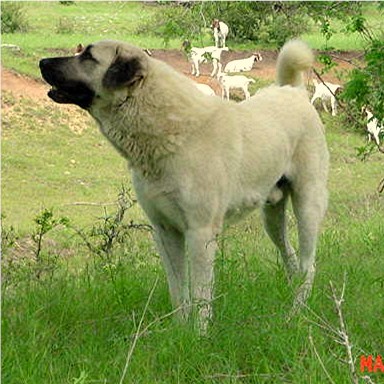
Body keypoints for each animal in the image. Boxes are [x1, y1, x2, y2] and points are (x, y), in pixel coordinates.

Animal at [39, 40, 330, 332]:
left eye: (88, 56)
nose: (42, 62)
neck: (168, 129)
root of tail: (293, 92)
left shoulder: (200, 233)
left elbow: (201, 293)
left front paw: (199, 335)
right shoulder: (165, 232)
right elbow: (179, 290)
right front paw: (180, 331)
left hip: (307, 206)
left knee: (308, 265)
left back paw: (296, 313)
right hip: (271, 215)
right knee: (290, 257)